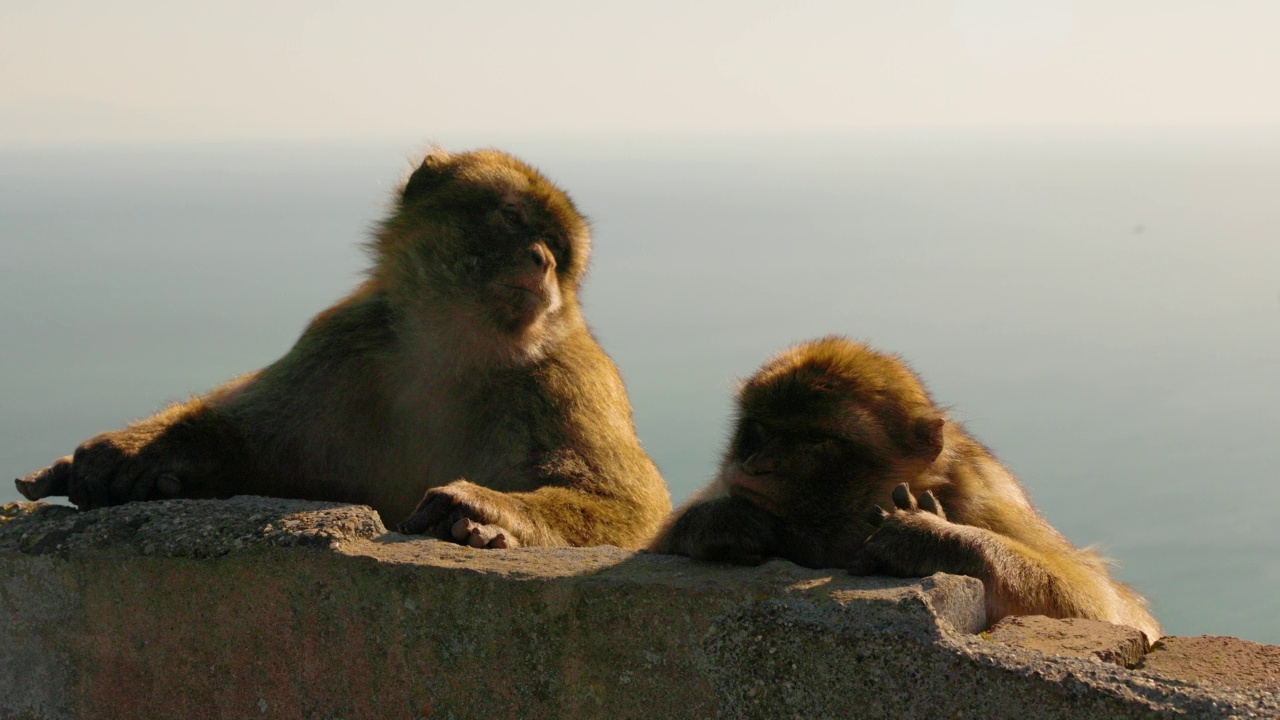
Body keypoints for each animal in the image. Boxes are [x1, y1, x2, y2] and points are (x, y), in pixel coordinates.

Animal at [17, 147, 670, 548]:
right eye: (512, 217)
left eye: (560, 250)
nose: (543, 262)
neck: (451, 351)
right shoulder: (342, 342)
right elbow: (263, 451)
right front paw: (138, 452)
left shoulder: (567, 380)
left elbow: (630, 507)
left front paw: (484, 512)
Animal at [655, 335, 1167, 638]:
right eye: (761, 430)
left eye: (817, 441)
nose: (757, 465)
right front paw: (720, 521)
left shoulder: (982, 496)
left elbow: (1110, 609)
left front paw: (929, 538)